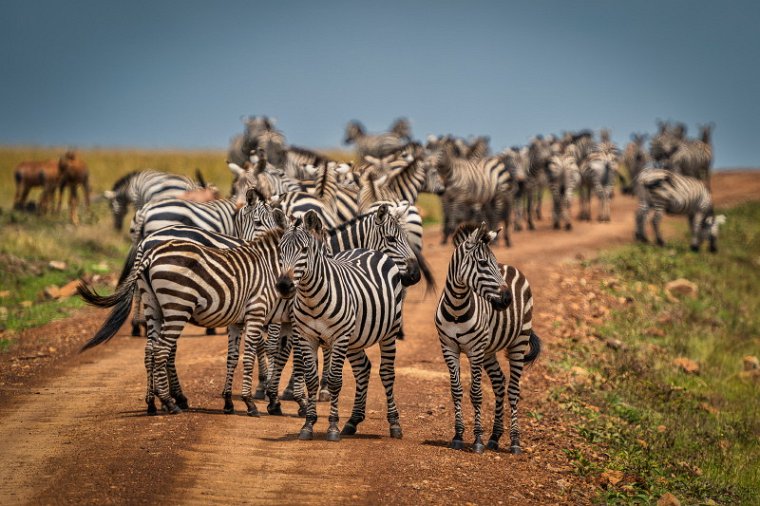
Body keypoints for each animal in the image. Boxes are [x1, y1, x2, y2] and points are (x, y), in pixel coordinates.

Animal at [80, 227, 286, 418]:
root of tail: (148, 248)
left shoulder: (242, 317)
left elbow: (237, 356)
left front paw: (235, 400)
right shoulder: (262, 312)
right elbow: (272, 352)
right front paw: (266, 398)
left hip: (154, 306)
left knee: (151, 349)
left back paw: (154, 403)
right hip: (177, 305)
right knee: (163, 350)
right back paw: (170, 402)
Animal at [276, 211, 406, 440]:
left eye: (304, 250)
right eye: (280, 249)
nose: (284, 286)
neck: (311, 296)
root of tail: (369, 250)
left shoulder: (338, 337)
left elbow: (336, 381)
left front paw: (332, 427)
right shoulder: (306, 337)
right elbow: (311, 379)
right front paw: (308, 424)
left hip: (388, 332)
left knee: (387, 373)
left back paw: (394, 424)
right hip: (355, 338)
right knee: (363, 369)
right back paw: (353, 421)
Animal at [434, 221, 540, 454]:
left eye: (490, 262)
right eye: (482, 263)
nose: (507, 299)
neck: (456, 309)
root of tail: (509, 266)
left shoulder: (475, 351)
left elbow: (476, 393)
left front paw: (477, 440)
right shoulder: (449, 348)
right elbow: (456, 391)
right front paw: (458, 436)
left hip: (518, 342)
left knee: (513, 390)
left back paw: (514, 442)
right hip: (489, 350)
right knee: (499, 382)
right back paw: (495, 437)